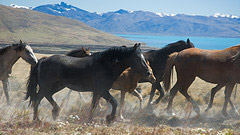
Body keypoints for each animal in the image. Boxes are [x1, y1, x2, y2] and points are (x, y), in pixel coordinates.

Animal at [24, 43, 152, 123]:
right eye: (137, 58)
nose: (148, 72)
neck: (105, 66)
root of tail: (42, 60)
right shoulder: (102, 90)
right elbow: (114, 102)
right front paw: (109, 118)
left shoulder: (97, 91)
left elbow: (94, 105)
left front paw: (90, 120)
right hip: (47, 86)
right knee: (37, 99)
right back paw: (37, 120)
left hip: (58, 86)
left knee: (46, 96)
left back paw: (55, 112)